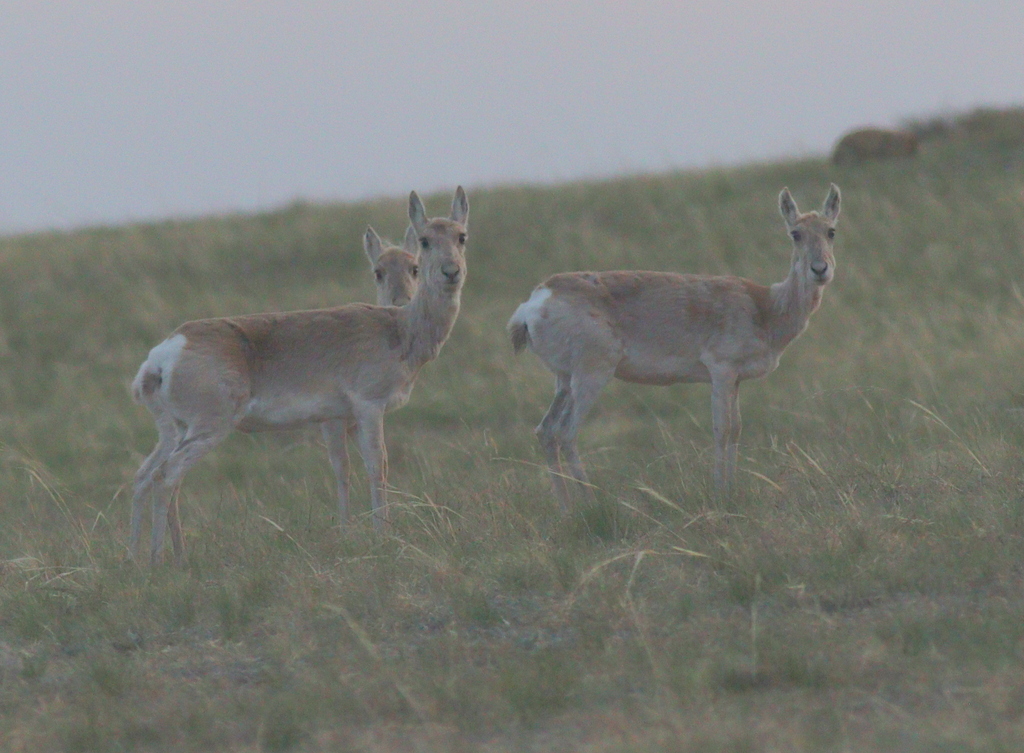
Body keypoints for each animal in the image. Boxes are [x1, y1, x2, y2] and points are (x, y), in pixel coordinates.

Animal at [130, 187, 468, 564]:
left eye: (461, 236)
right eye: (425, 240)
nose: (451, 271)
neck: (397, 327)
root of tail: (166, 352)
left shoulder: (341, 418)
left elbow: (348, 467)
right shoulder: (368, 407)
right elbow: (376, 465)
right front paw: (384, 536)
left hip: (174, 431)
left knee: (145, 476)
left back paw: (137, 558)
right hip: (208, 429)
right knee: (165, 476)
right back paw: (159, 559)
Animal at [507, 185, 840, 509]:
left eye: (831, 230)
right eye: (795, 233)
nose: (820, 269)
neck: (763, 304)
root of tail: (538, 298)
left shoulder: (736, 381)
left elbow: (736, 429)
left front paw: (732, 488)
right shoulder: (721, 372)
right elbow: (721, 429)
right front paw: (721, 493)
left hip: (564, 381)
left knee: (546, 431)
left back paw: (566, 509)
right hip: (591, 376)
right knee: (567, 432)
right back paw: (591, 504)